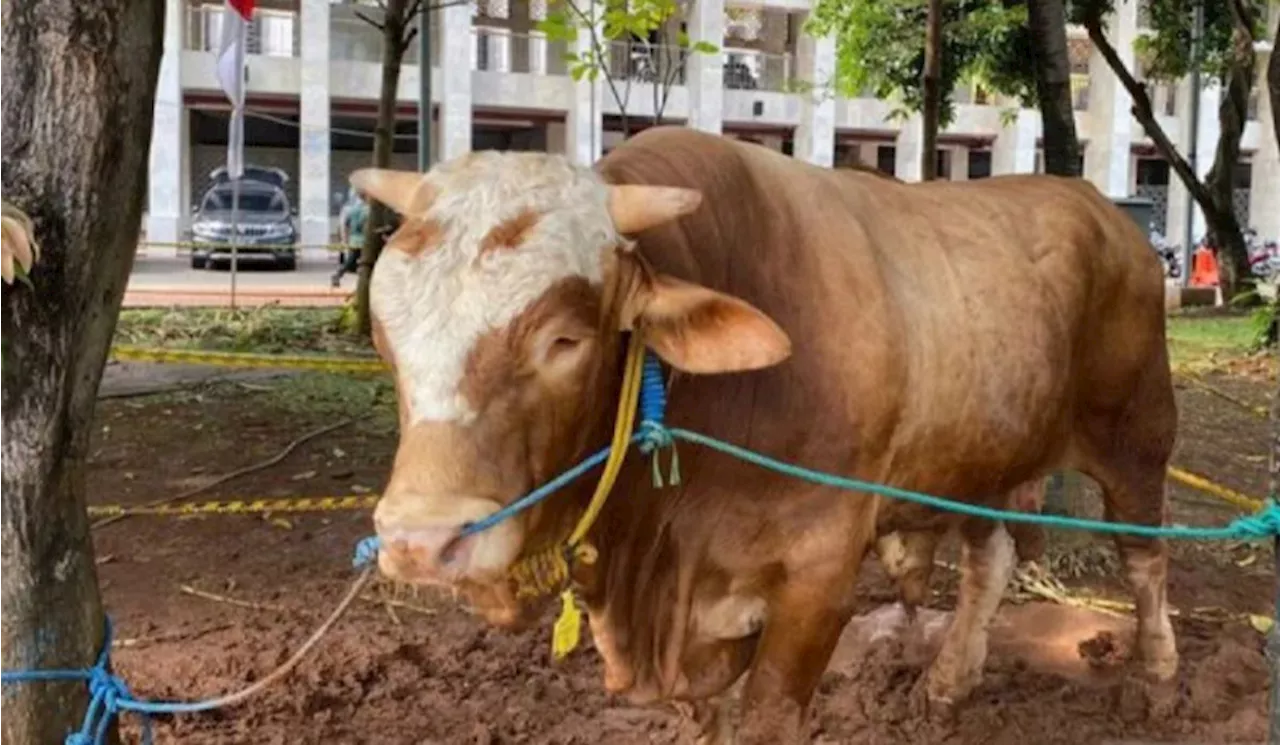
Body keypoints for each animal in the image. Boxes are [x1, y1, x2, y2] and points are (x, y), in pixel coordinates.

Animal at [355, 125, 1172, 742]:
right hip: (982, 458)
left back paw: (1158, 678)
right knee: (989, 560)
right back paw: (948, 682)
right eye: (385, 333)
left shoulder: (818, 578)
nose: (421, 541)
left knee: (1144, 557)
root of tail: (1098, 206)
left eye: (563, 340)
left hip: (1135, 432)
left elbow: (770, 712)